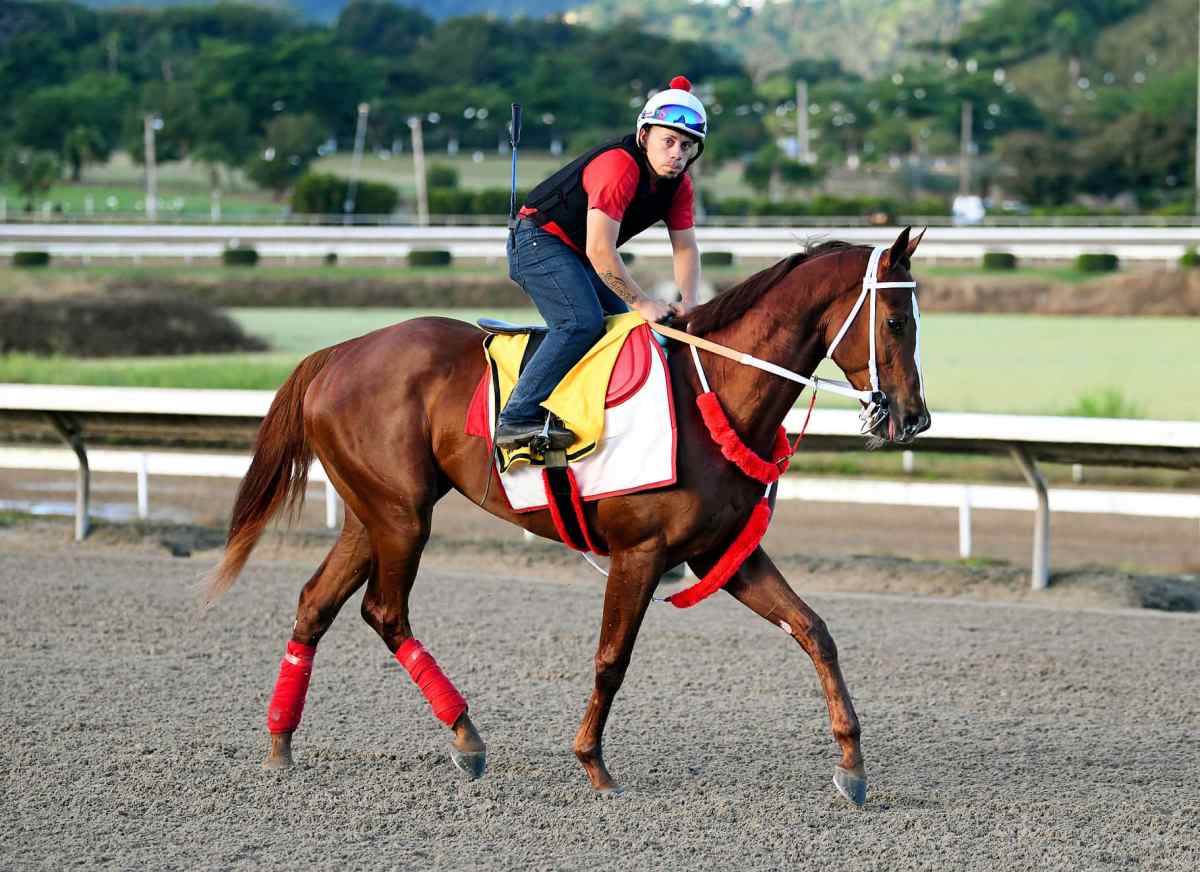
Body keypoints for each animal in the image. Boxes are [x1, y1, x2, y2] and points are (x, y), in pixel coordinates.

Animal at [205, 226, 929, 806]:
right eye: (897, 321)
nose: (912, 417)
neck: (712, 392)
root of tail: (336, 354)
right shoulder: (641, 551)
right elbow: (613, 657)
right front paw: (593, 763)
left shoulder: (724, 553)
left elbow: (814, 631)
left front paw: (852, 764)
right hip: (402, 517)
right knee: (384, 612)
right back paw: (465, 737)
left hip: (372, 514)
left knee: (315, 604)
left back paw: (282, 744)